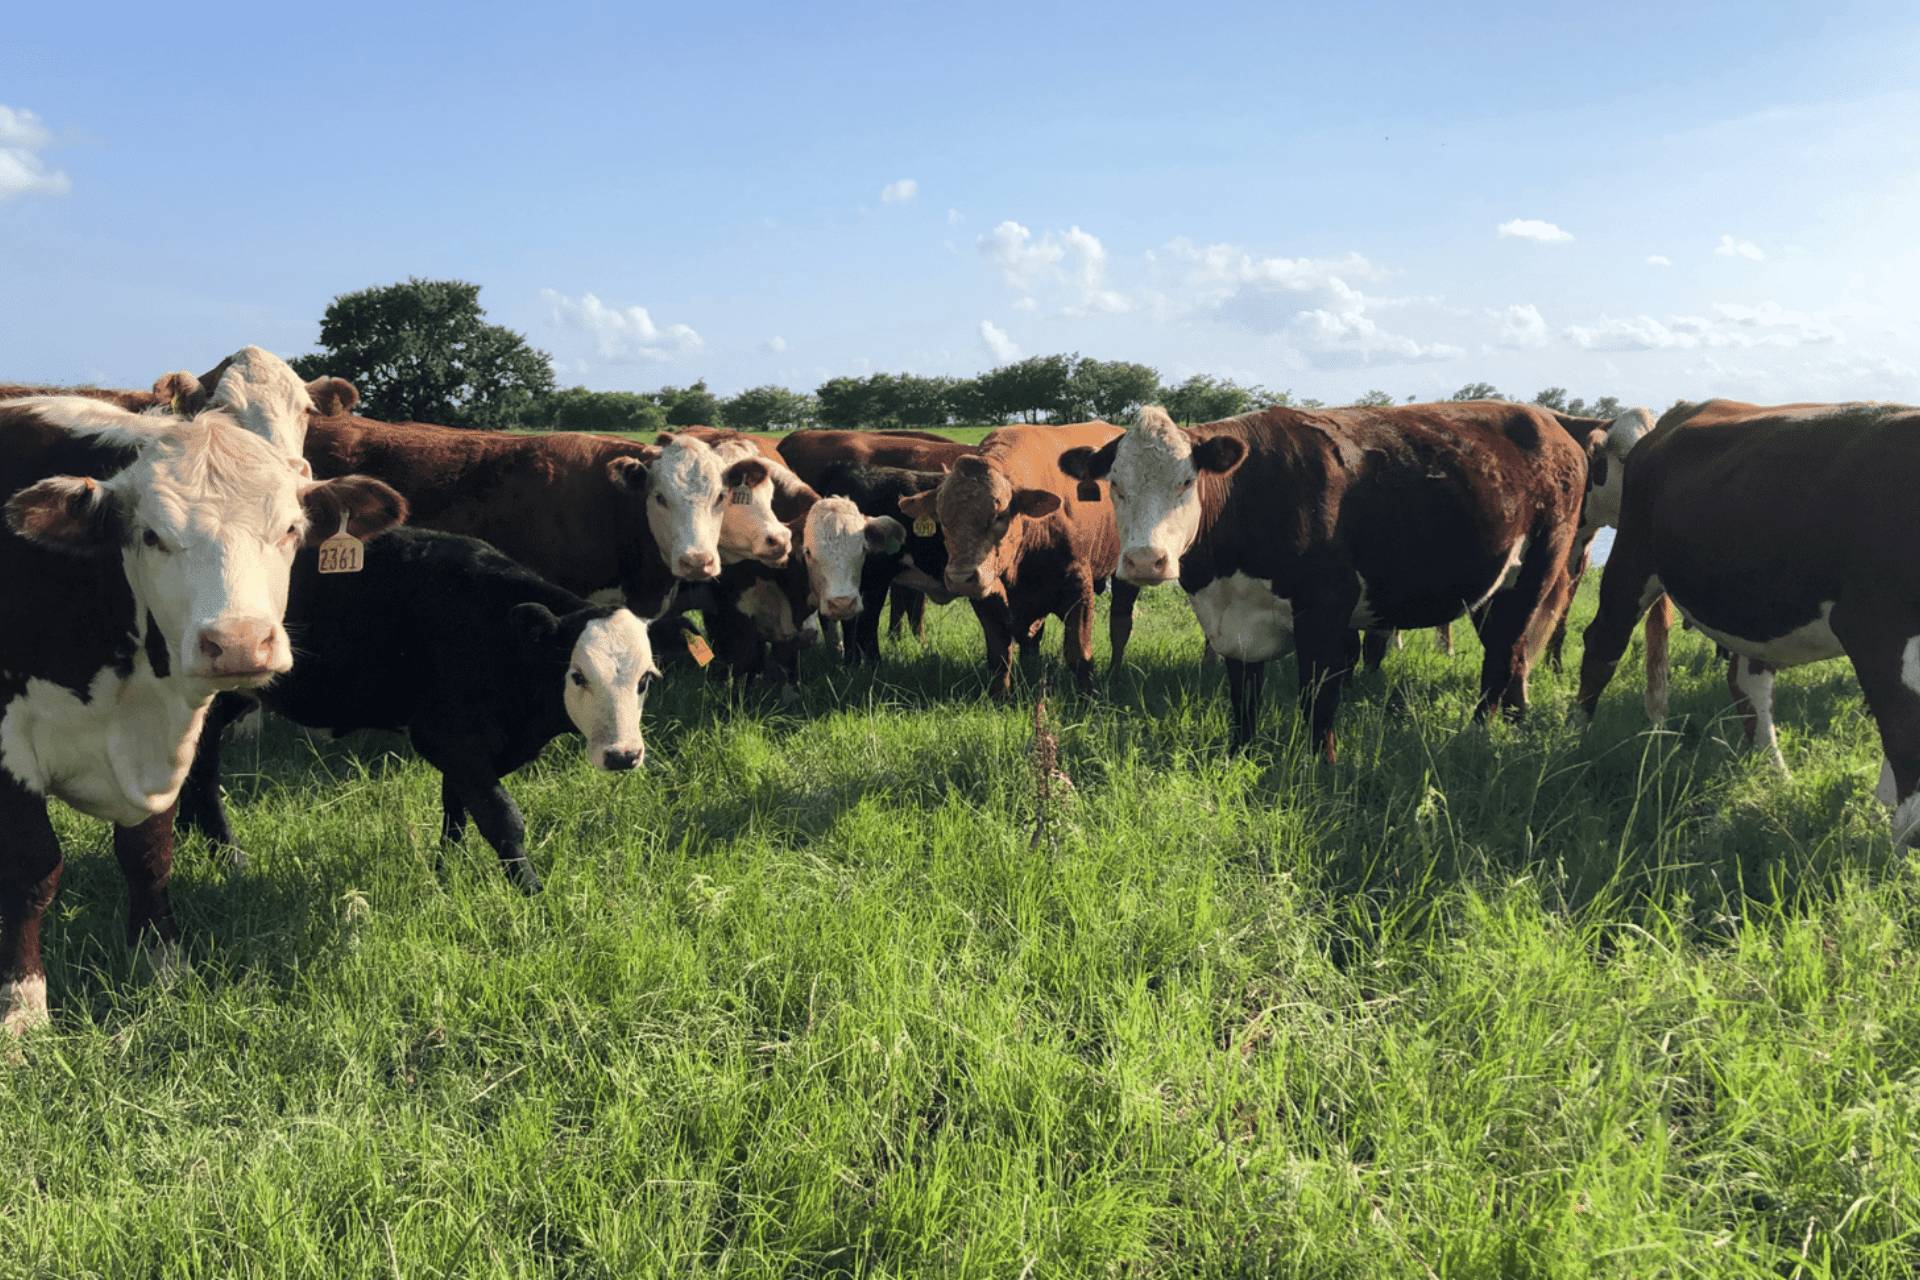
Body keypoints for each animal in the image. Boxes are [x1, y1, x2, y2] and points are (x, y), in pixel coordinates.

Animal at [0, 386, 405, 1035]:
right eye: (150, 536)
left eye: (290, 529)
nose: (238, 642)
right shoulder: (9, 740)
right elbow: (33, 867)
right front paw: (23, 1003)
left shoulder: (170, 746)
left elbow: (148, 857)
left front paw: (163, 967)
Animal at [177, 529, 657, 892]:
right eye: (577, 675)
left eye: (645, 679)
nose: (623, 755)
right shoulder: (444, 736)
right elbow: (501, 817)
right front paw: (532, 894)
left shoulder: (470, 747)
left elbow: (456, 810)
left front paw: (446, 875)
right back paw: (229, 857)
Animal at [896, 422, 1137, 697]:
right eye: (942, 519)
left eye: (999, 515)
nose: (960, 577)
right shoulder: (988, 596)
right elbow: (1000, 654)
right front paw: (999, 697)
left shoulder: (1079, 589)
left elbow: (1079, 653)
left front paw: (1087, 698)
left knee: (1120, 624)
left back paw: (1114, 672)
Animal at [1059, 402, 1586, 758]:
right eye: (1115, 485)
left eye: (1186, 483)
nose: (1146, 560)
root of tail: (1549, 423)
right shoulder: (1234, 619)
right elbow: (1243, 700)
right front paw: (1239, 757)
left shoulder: (1326, 611)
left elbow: (1318, 699)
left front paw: (1321, 766)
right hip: (1492, 587)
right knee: (1509, 653)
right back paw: (1509, 724)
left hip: (1537, 570)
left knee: (1504, 652)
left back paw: (1479, 733)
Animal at [1574, 399, 1920, 844]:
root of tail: (1684, 410)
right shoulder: (1873, 626)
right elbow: (1904, 729)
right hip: (1632, 561)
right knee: (1602, 645)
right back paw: (1575, 739)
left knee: (1746, 679)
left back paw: (1775, 774)